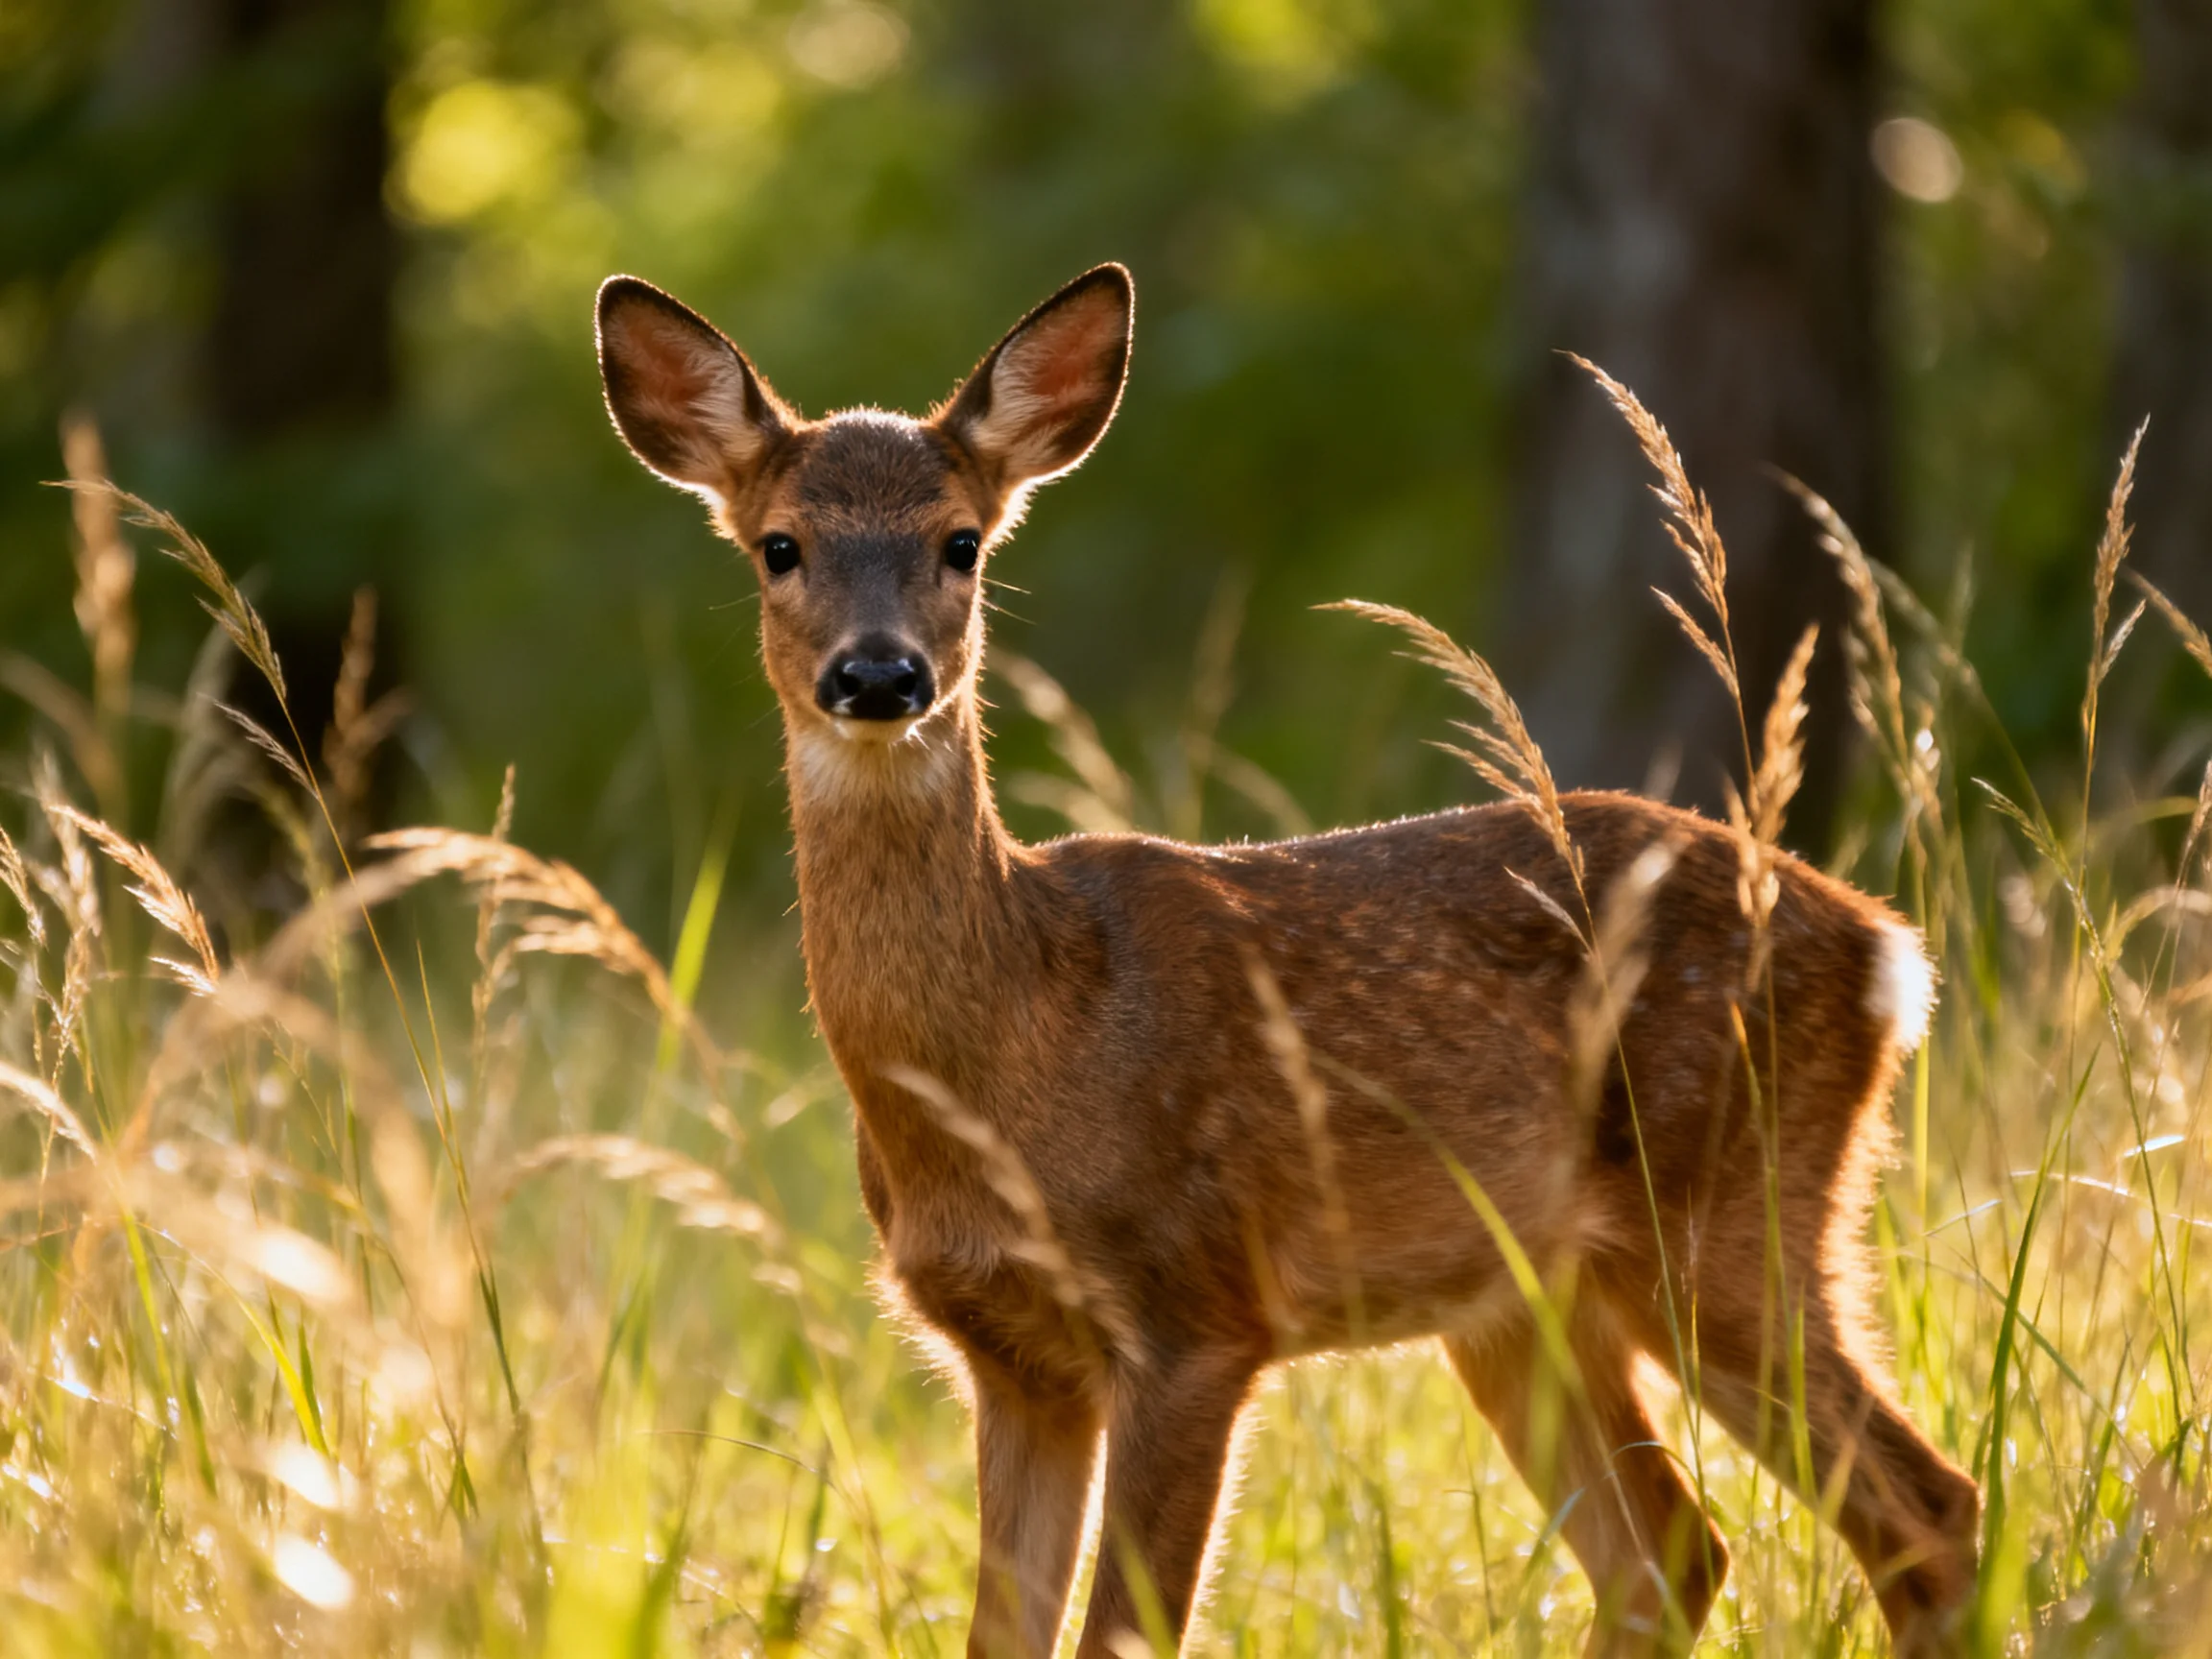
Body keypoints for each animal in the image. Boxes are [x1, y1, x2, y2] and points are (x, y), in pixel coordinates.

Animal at [593, 262, 1981, 1658]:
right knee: (1676, 1553)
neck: (1022, 1050)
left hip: (1731, 1202)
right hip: (1526, 1295)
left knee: (1928, 1509)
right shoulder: (1011, 1355)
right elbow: (1005, 1637)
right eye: (780, 546)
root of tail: (1885, 949)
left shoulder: (1200, 1312)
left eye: (961, 543)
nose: (879, 675)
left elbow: (1122, 1634)